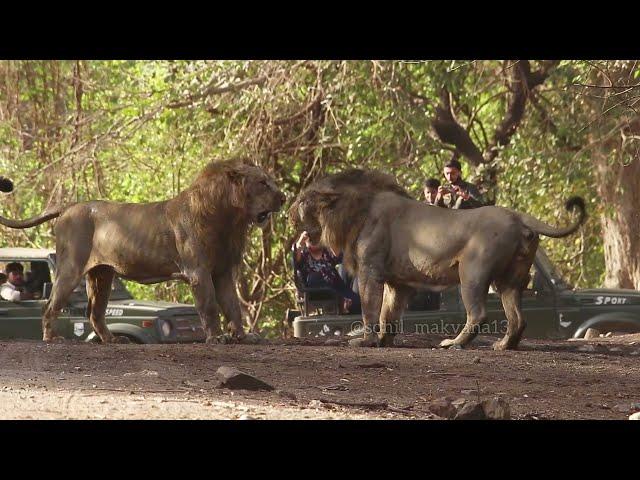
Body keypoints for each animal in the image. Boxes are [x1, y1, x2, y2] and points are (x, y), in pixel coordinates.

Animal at [0, 159, 284, 344]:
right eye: (262, 183)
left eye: (270, 181)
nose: (282, 197)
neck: (231, 221)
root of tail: (68, 207)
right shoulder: (198, 271)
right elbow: (210, 306)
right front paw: (217, 338)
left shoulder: (224, 271)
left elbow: (233, 306)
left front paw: (244, 336)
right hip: (71, 268)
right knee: (52, 304)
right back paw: (52, 338)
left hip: (102, 275)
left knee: (95, 312)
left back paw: (112, 340)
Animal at [292, 171, 588, 350]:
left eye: (303, 200)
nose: (289, 213)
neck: (354, 212)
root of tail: (518, 216)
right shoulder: (398, 283)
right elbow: (389, 313)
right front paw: (385, 340)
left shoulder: (370, 271)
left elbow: (370, 309)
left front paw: (366, 341)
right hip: (509, 281)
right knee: (518, 319)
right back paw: (504, 346)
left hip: (472, 274)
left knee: (479, 314)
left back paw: (454, 343)